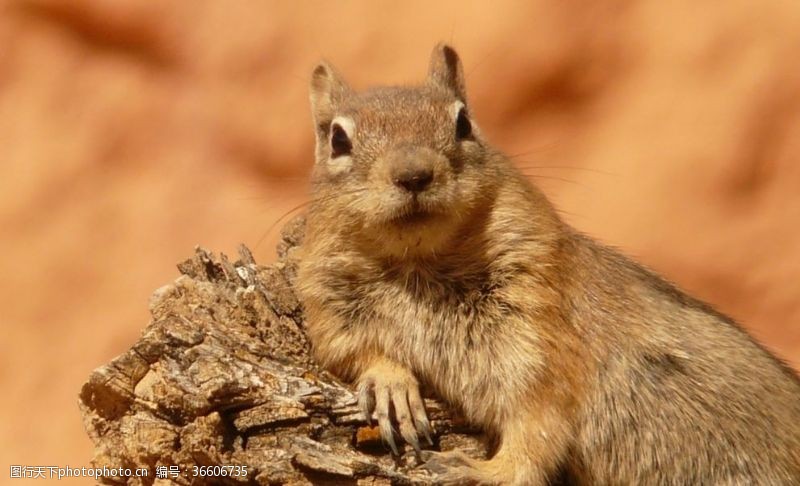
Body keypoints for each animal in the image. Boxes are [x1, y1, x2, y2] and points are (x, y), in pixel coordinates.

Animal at [294, 43, 800, 484]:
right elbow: (353, 351)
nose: (414, 174)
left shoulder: (539, 334)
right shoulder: (331, 309)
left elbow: (537, 426)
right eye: (337, 139)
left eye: (463, 122)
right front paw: (391, 384)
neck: (419, 264)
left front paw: (483, 471)